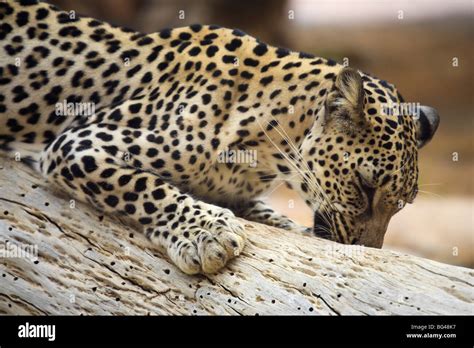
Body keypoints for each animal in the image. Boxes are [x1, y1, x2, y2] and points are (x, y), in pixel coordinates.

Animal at [0, 0, 438, 274]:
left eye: (401, 205)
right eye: (365, 186)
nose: (367, 252)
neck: (266, 156)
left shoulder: (238, 192)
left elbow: (268, 214)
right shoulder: (79, 144)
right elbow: (142, 186)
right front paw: (205, 234)